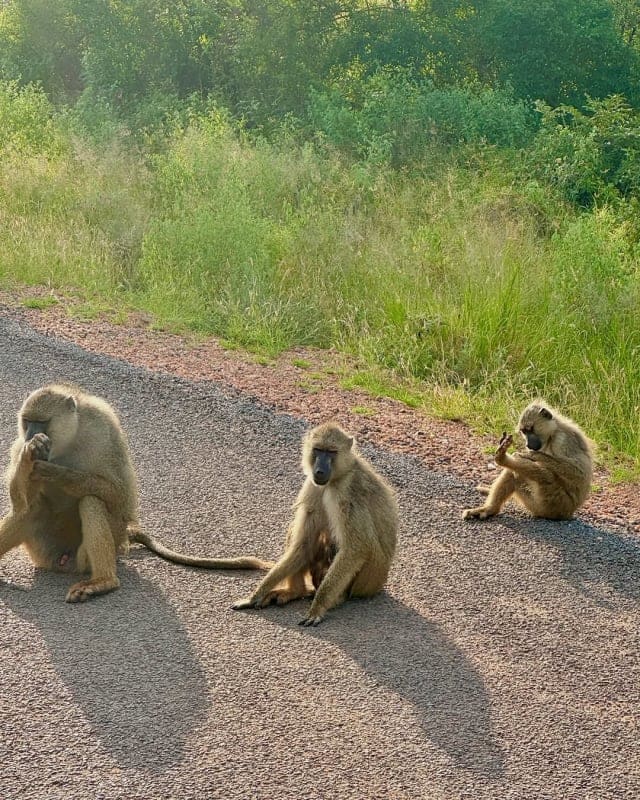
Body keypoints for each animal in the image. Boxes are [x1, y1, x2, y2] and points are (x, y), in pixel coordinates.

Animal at [0, 383, 139, 602]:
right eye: (27, 421)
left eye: (42, 422)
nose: (30, 436)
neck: (70, 437)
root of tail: (65, 560)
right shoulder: (18, 444)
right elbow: (21, 504)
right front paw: (30, 452)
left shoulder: (104, 426)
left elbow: (119, 496)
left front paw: (57, 473)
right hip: (41, 550)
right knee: (31, 509)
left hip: (98, 549)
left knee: (91, 501)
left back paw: (103, 581)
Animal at [232, 421, 399, 626]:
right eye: (318, 450)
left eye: (331, 452)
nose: (319, 470)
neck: (338, 476)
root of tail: (378, 584)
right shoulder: (313, 486)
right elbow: (304, 544)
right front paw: (254, 596)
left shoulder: (347, 493)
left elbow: (356, 548)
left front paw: (317, 608)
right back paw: (295, 592)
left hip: (365, 582)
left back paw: (335, 598)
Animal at [462, 401, 593, 521]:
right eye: (524, 432)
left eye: (530, 429)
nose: (528, 444)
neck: (553, 433)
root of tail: (568, 513)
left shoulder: (563, 440)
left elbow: (578, 473)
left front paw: (533, 455)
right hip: (537, 503)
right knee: (514, 472)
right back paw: (489, 509)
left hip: (554, 502)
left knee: (546, 475)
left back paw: (503, 459)